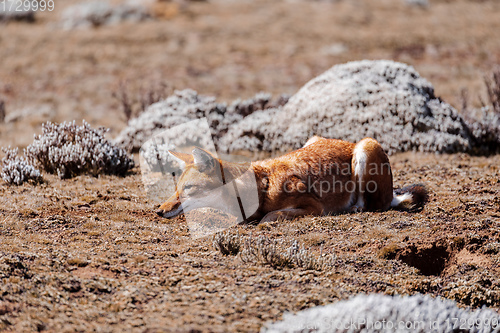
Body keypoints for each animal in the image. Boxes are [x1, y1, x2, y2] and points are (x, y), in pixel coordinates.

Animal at [155, 136, 426, 222]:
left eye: (188, 188)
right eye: (176, 188)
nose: (158, 210)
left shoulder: (314, 207)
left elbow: (269, 216)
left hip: (364, 148)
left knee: (374, 205)